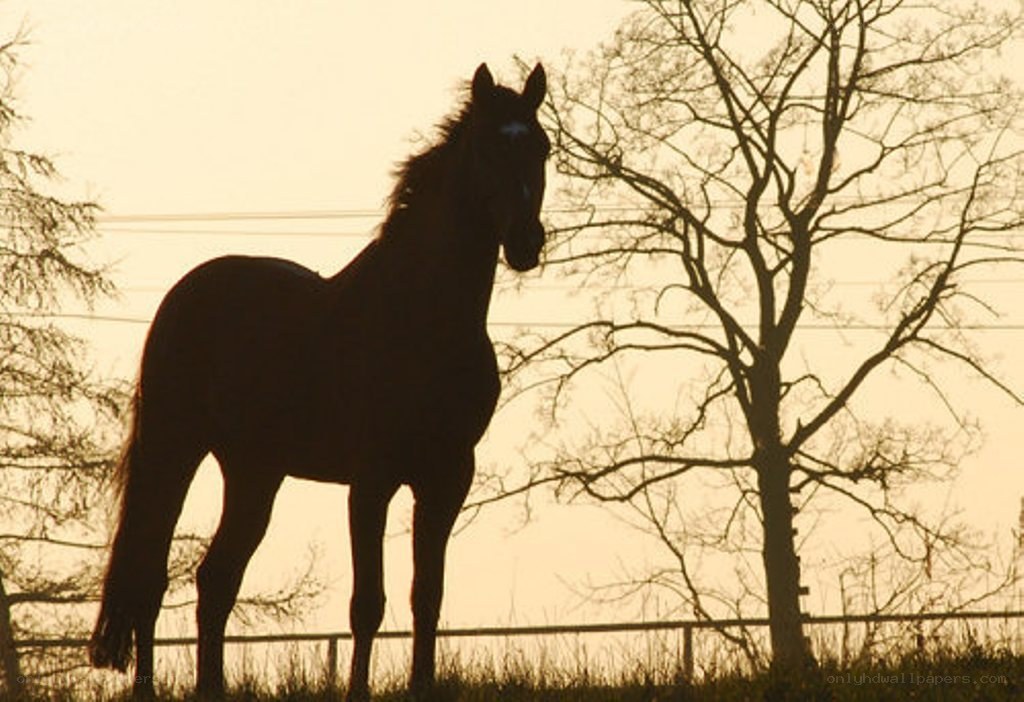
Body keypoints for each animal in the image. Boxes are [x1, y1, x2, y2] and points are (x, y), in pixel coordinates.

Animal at [89, 62, 549, 701]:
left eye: (542, 148)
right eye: (487, 147)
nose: (528, 243)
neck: (422, 319)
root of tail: (186, 292)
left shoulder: (448, 476)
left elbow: (426, 598)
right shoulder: (373, 479)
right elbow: (368, 604)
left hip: (254, 471)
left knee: (216, 579)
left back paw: (212, 686)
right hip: (174, 447)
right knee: (150, 573)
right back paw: (148, 688)